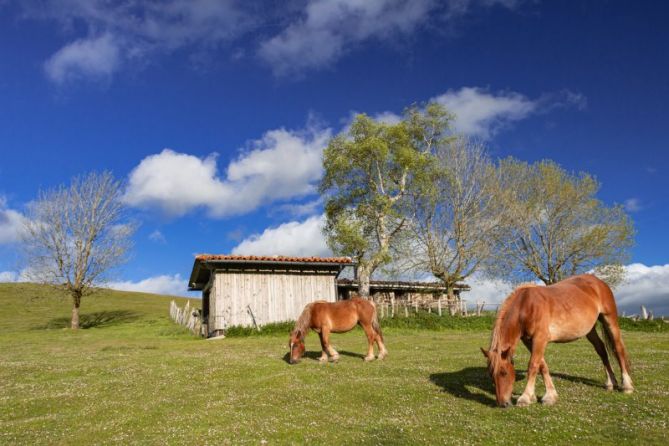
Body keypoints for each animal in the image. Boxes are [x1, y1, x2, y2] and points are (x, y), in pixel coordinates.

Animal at [480, 272, 632, 408]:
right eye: (491, 375)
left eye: (504, 372)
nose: (503, 403)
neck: (526, 306)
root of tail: (598, 282)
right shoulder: (529, 341)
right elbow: (542, 366)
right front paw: (549, 396)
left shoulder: (540, 338)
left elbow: (533, 365)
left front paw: (525, 397)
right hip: (590, 330)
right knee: (601, 350)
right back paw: (610, 382)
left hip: (610, 319)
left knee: (618, 348)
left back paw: (627, 385)